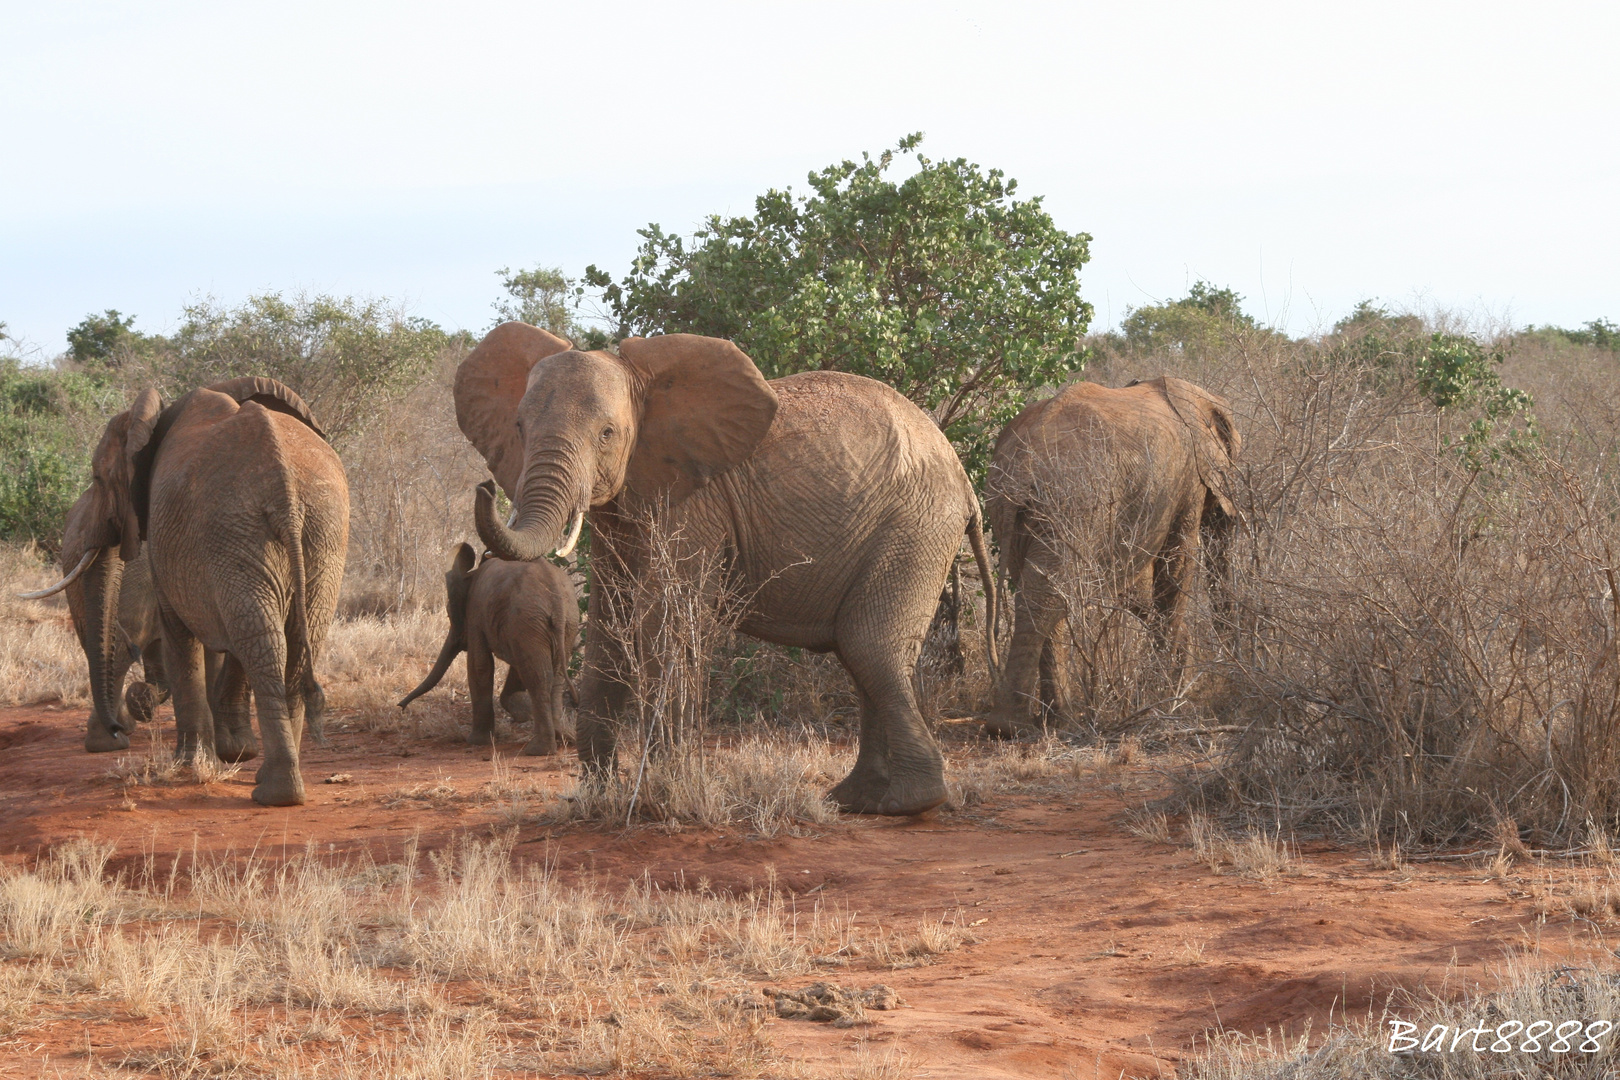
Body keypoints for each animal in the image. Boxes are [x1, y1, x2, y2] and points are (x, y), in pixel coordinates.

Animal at [32, 375, 348, 806]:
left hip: (239, 527)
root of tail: (283, 487)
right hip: (316, 531)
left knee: (259, 638)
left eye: (97, 478)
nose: (119, 729)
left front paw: (192, 761)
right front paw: (224, 752)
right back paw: (276, 783)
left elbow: (181, 635)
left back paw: (273, 790)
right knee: (292, 640)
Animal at [398, 544, 583, 757]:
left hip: (528, 619)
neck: (471, 574)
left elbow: (479, 665)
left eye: (448, 614)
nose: (401, 707)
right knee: (554, 675)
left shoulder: (476, 613)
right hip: (566, 622)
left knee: (538, 678)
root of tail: (557, 600)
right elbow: (515, 666)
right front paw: (523, 714)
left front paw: (476, 741)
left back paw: (538, 750)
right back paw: (561, 738)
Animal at [450, 325, 991, 816]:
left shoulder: (693, 503)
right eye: (518, 428)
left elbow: (662, 621)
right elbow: (610, 624)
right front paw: (597, 797)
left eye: (607, 434)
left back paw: (906, 803)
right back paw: (855, 802)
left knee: (869, 646)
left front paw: (664, 798)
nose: (482, 488)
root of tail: (964, 479)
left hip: (916, 528)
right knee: (860, 655)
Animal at [972, 375, 1237, 738]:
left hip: (1010, 509)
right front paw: (1161, 702)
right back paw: (1016, 727)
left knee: (1044, 593)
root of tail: (1022, 464)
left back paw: (1053, 722)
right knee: (1048, 595)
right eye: (1234, 455)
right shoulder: (1187, 481)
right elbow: (1175, 563)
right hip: (1072, 503)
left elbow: (1138, 583)